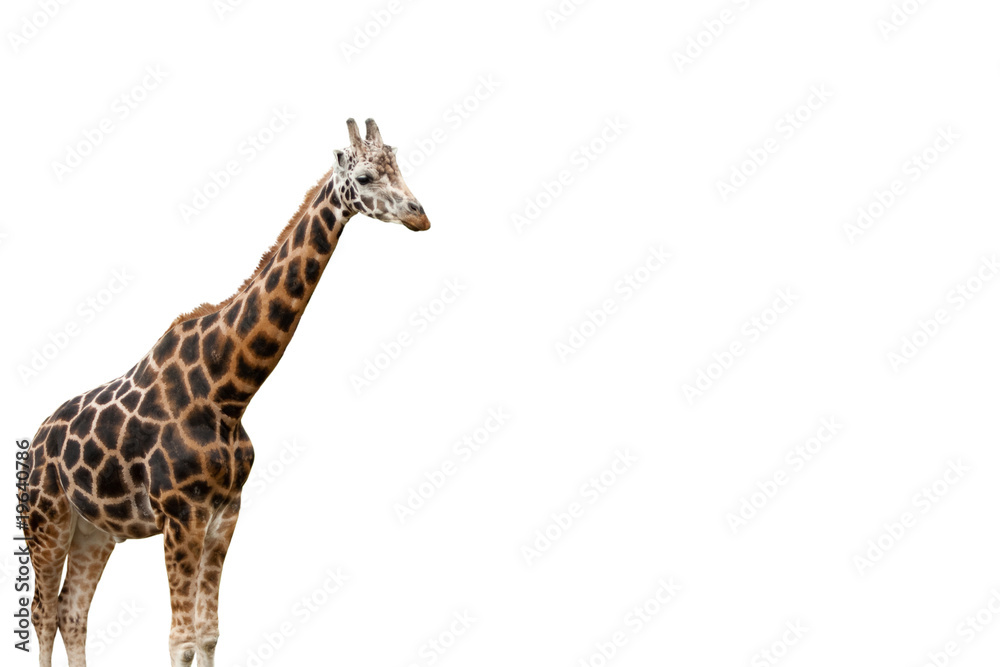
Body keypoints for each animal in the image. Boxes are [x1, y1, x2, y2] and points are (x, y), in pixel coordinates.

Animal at [21, 118, 430, 667]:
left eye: (399, 166)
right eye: (364, 177)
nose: (420, 215)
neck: (229, 392)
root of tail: (36, 439)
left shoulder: (224, 515)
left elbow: (209, 633)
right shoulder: (180, 516)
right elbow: (181, 639)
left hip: (96, 530)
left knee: (72, 610)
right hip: (46, 520)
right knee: (43, 611)